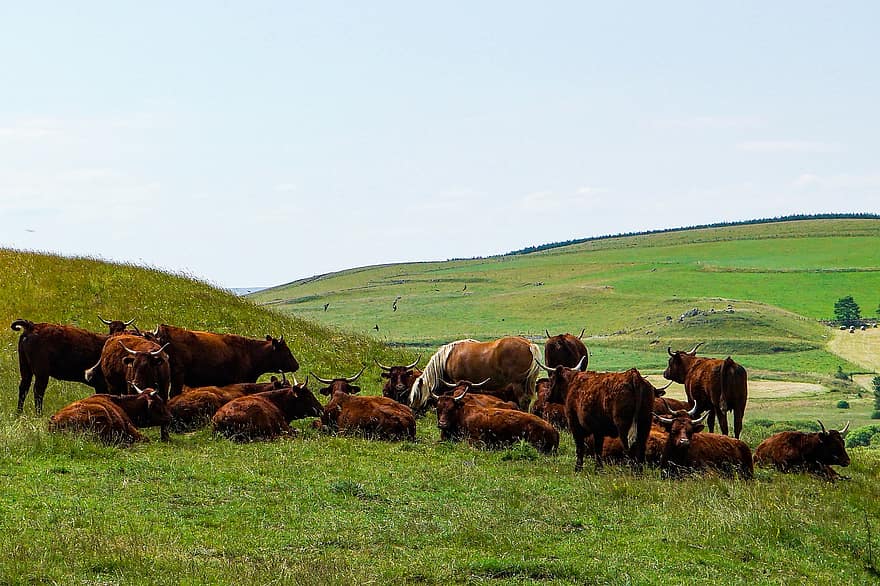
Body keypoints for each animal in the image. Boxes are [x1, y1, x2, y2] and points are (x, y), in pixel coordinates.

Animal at [408, 336, 544, 408]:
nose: (412, 408)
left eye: (416, 394)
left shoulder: (458, 381)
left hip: (517, 384)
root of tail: (529, 344)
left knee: (523, 401)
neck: (448, 357)